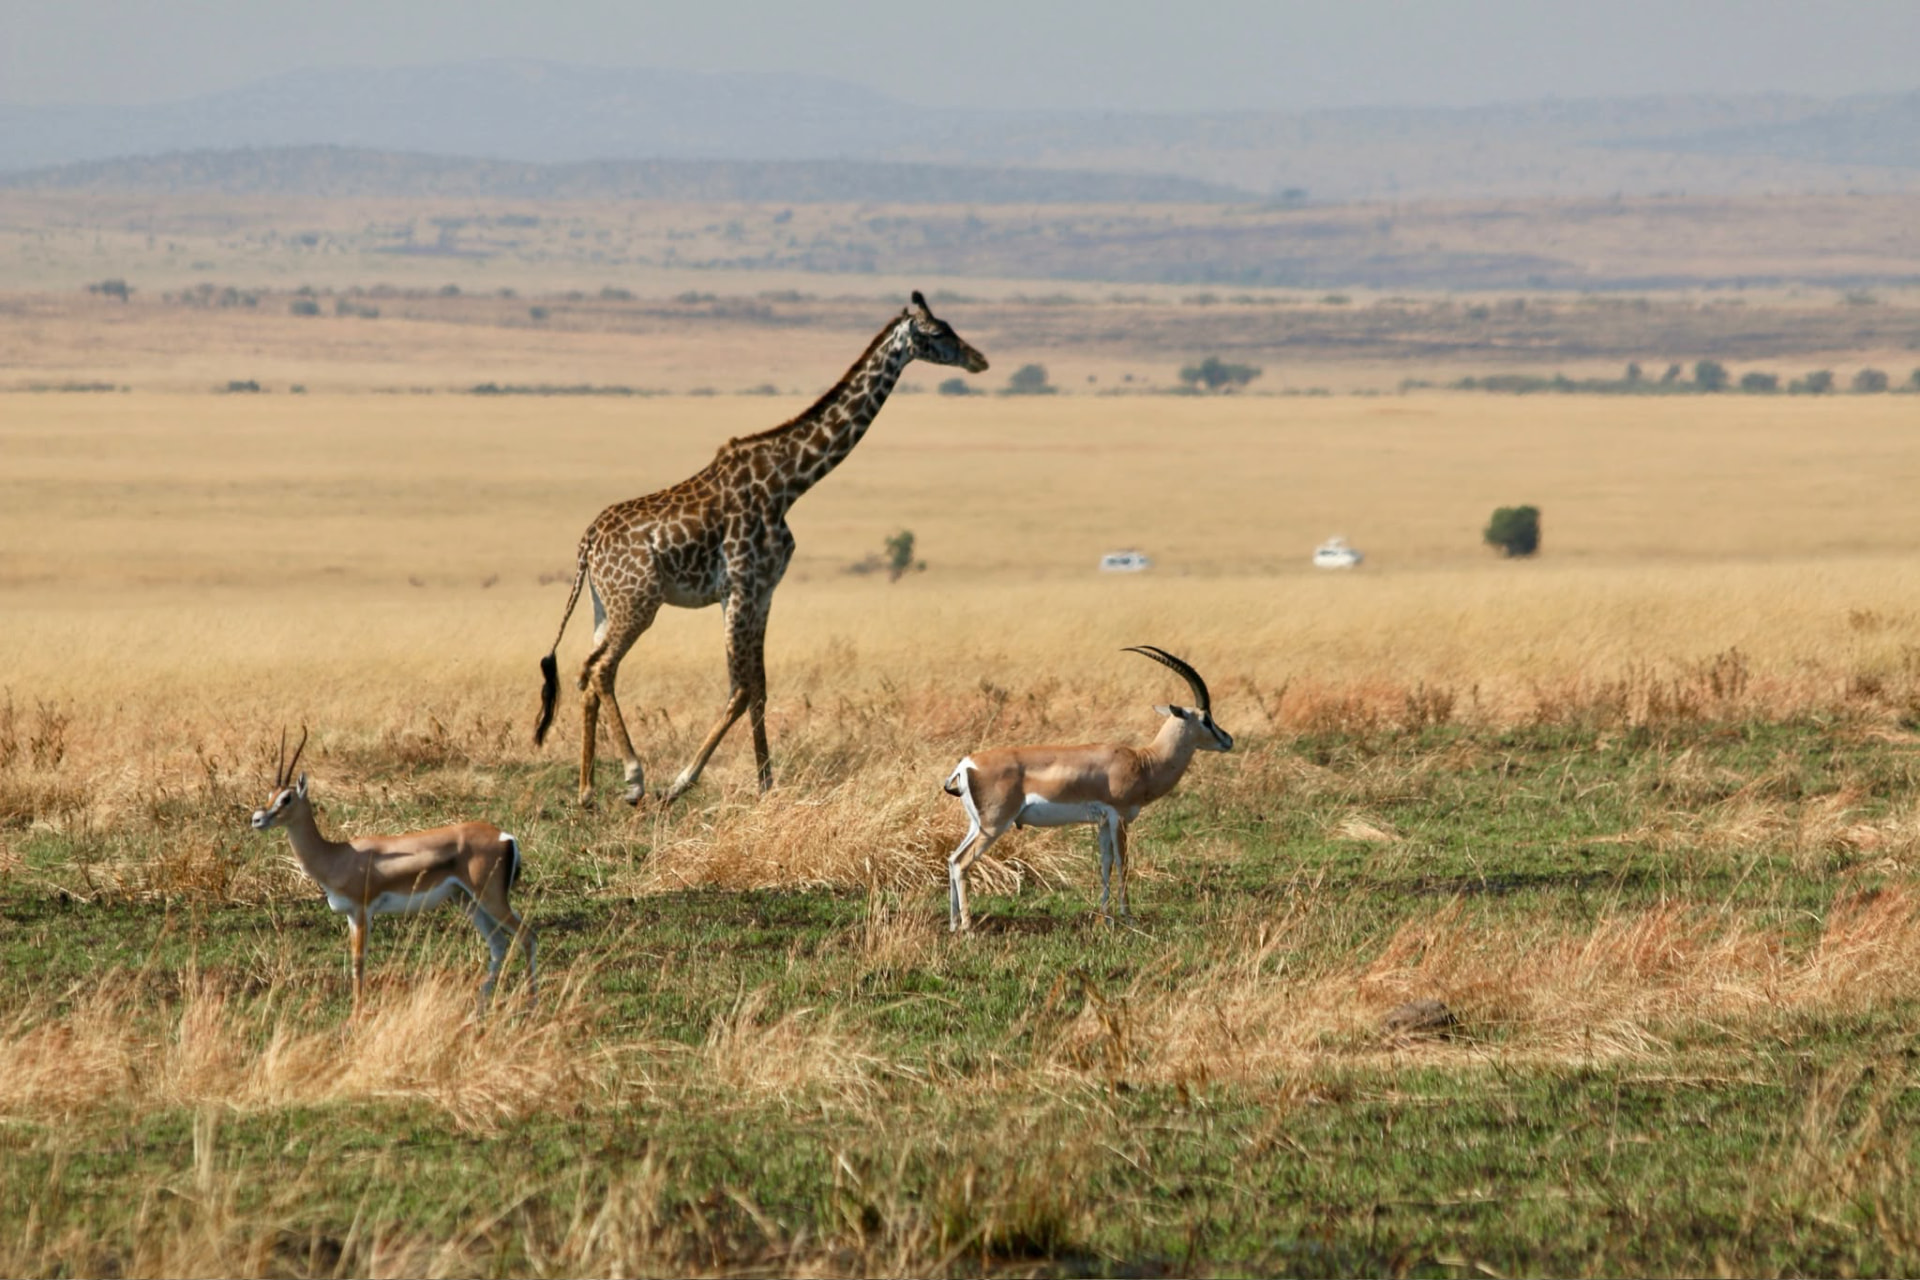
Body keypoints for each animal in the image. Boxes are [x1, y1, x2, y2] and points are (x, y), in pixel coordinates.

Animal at [533, 291, 989, 807]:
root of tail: (587, 542)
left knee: (585, 672)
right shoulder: (740, 587)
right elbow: (740, 689)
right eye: (938, 333)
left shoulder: (765, 591)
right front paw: (682, 781)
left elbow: (760, 687)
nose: (979, 359)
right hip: (638, 603)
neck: (788, 482)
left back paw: (587, 789)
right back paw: (634, 779)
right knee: (601, 669)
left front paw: (767, 783)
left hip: (604, 604)